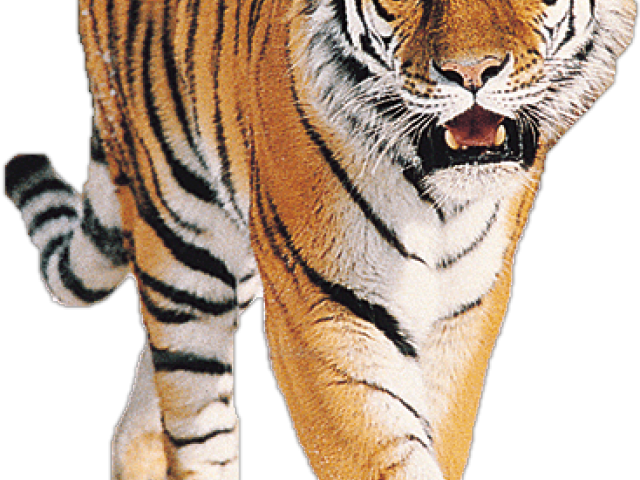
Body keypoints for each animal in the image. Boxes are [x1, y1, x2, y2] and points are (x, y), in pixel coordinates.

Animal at [4, 0, 635, 479]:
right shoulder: (323, 314)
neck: (437, 199)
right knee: (192, 418)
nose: (473, 73)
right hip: (182, 245)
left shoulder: (464, 311)